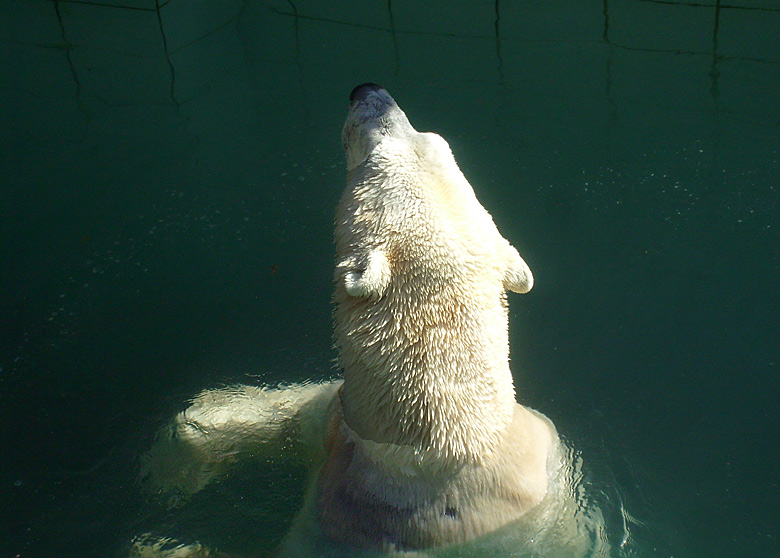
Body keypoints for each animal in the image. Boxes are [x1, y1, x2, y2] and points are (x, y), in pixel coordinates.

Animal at [133, 84, 604, 558]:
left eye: (374, 153)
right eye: (433, 138)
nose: (368, 92)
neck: (441, 432)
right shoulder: (345, 428)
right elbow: (284, 415)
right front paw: (168, 472)